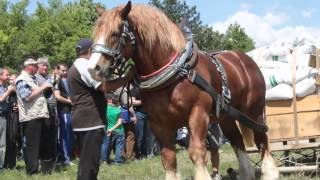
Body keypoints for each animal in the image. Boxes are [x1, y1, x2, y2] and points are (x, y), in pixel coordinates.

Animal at [87, 1, 278, 180]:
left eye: (115, 33)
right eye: (96, 33)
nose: (93, 68)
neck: (176, 74)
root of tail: (245, 59)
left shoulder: (198, 113)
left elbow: (196, 151)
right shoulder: (158, 123)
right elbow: (168, 157)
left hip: (254, 111)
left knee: (261, 138)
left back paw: (270, 172)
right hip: (227, 117)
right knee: (237, 141)